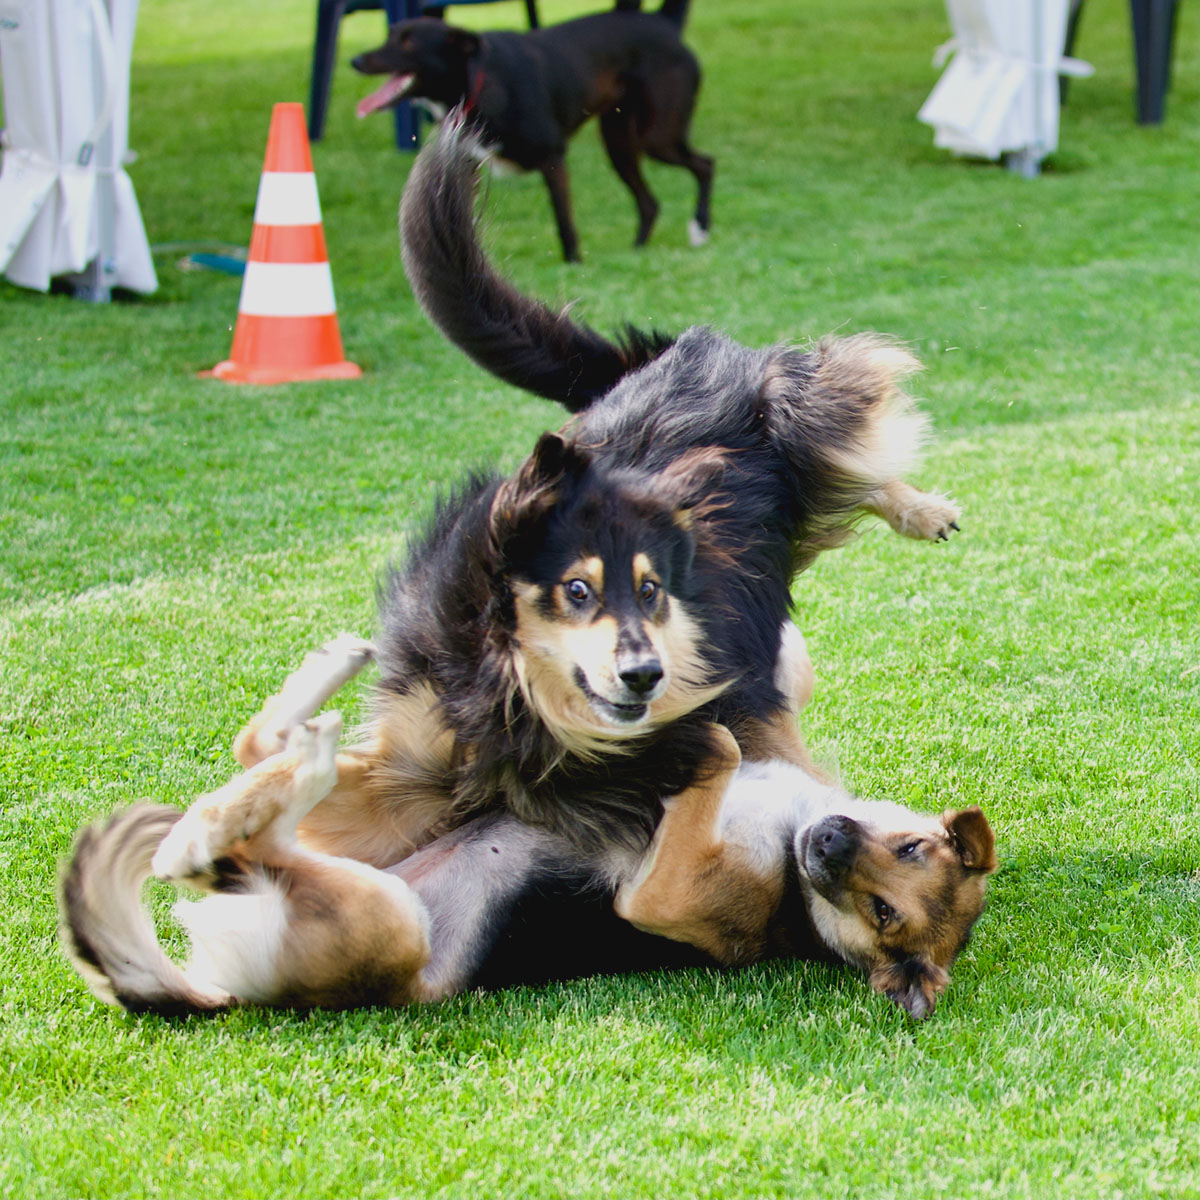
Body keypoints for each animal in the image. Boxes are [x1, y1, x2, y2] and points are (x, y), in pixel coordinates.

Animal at [350, 0, 710, 261]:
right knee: (650, 203)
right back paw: (637, 249)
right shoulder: (465, 168)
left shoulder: (552, 158)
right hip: (619, 143)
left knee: (705, 164)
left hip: (657, 137)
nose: (355, 60)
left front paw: (573, 262)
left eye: (408, 43)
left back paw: (701, 228)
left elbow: (564, 220)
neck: (479, 81)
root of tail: (662, 21)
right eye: (390, 35)